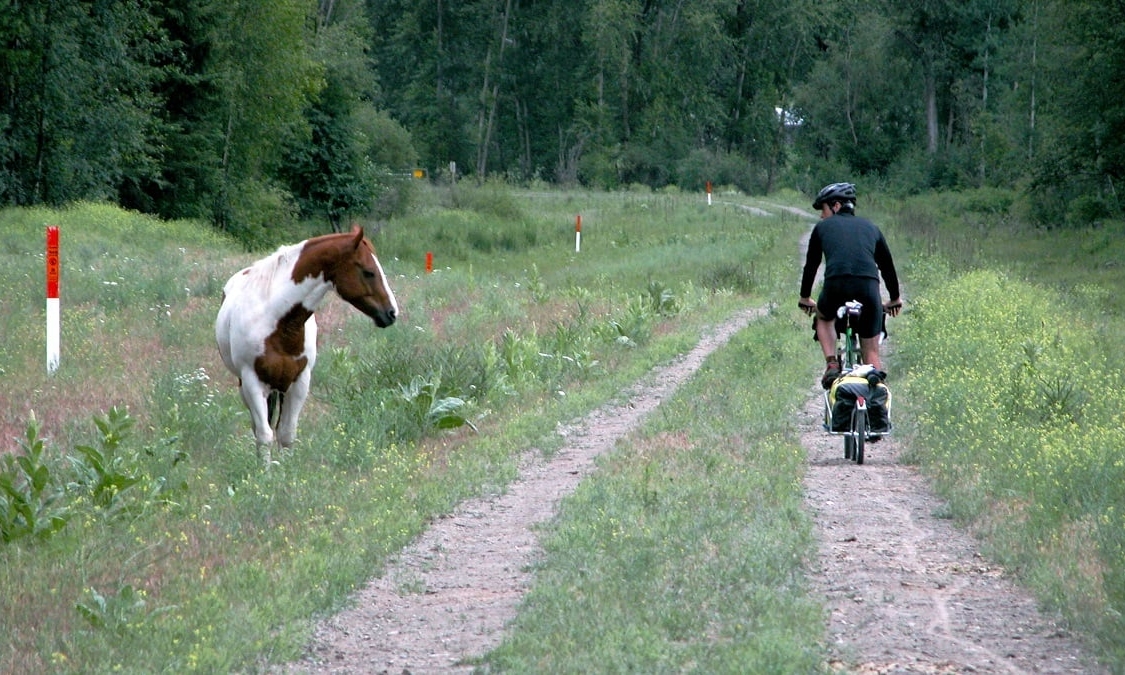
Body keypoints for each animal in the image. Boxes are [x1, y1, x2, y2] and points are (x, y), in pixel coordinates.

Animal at [215, 225, 398, 460]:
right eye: (368, 271)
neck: (275, 320)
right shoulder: (252, 381)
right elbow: (264, 435)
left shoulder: (299, 382)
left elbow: (286, 435)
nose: (392, 313)